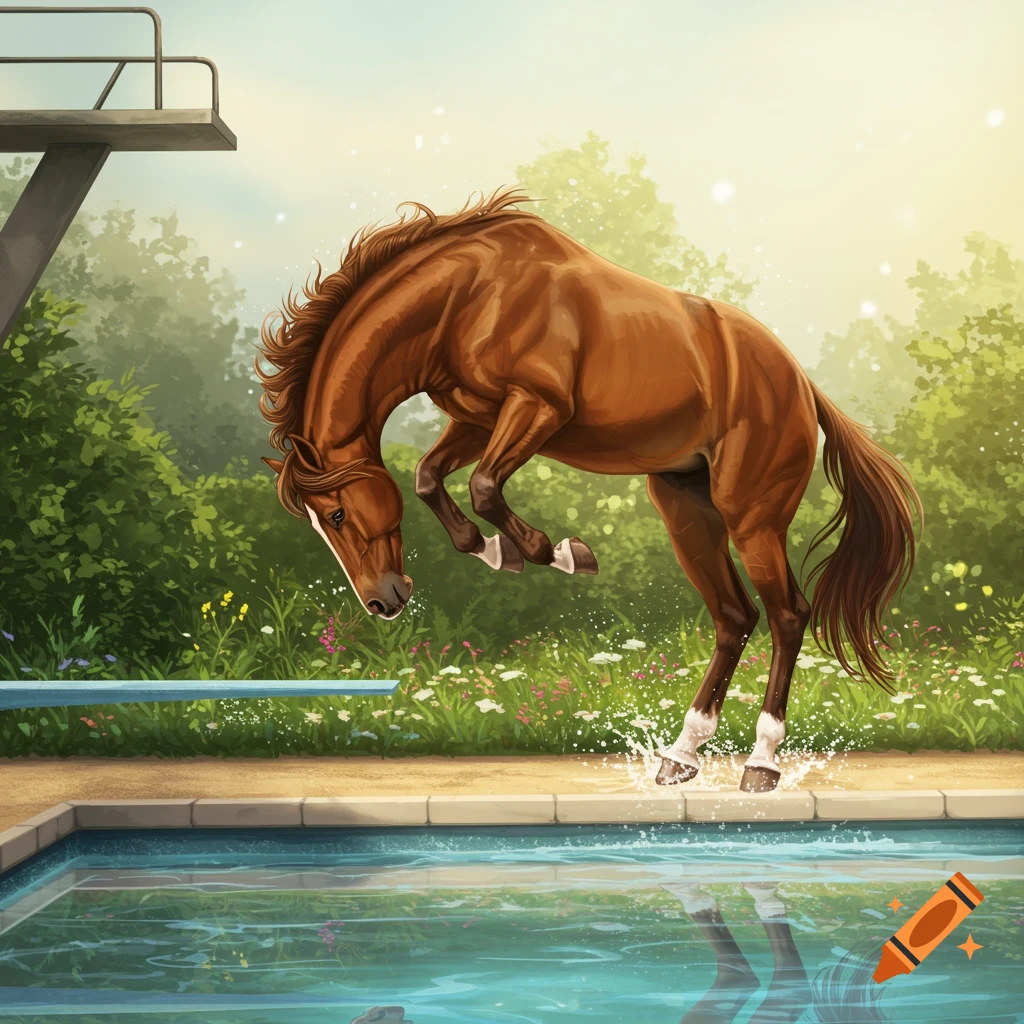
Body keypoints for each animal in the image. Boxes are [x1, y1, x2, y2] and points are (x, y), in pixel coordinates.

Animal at [256, 187, 921, 794]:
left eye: (336, 515)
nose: (382, 602)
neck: (467, 296)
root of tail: (800, 383)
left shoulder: (537, 407)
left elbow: (484, 486)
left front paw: (560, 553)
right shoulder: (476, 418)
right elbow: (429, 479)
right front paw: (497, 550)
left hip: (752, 518)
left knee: (787, 616)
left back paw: (761, 763)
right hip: (686, 512)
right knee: (735, 617)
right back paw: (680, 756)